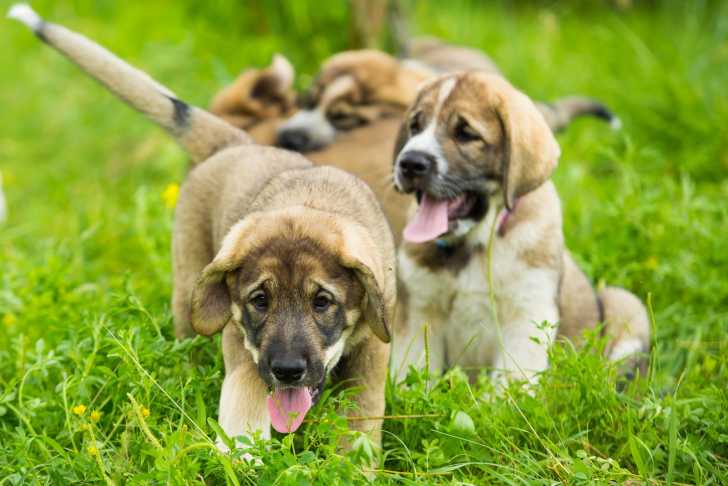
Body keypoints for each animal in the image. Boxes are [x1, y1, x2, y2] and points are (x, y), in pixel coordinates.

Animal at [10, 4, 396, 452]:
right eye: (259, 300)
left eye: (322, 302)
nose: (286, 370)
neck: (311, 202)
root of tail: (235, 143)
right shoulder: (242, 345)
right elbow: (245, 405)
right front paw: (241, 455)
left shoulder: (372, 351)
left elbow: (359, 420)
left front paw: (354, 459)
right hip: (188, 293)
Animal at [390, 72, 649, 385]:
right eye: (414, 126)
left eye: (465, 134)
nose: (410, 163)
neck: (477, 244)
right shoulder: (418, 310)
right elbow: (412, 376)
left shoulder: (527, 315)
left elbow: (510, 385)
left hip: (626, 305)